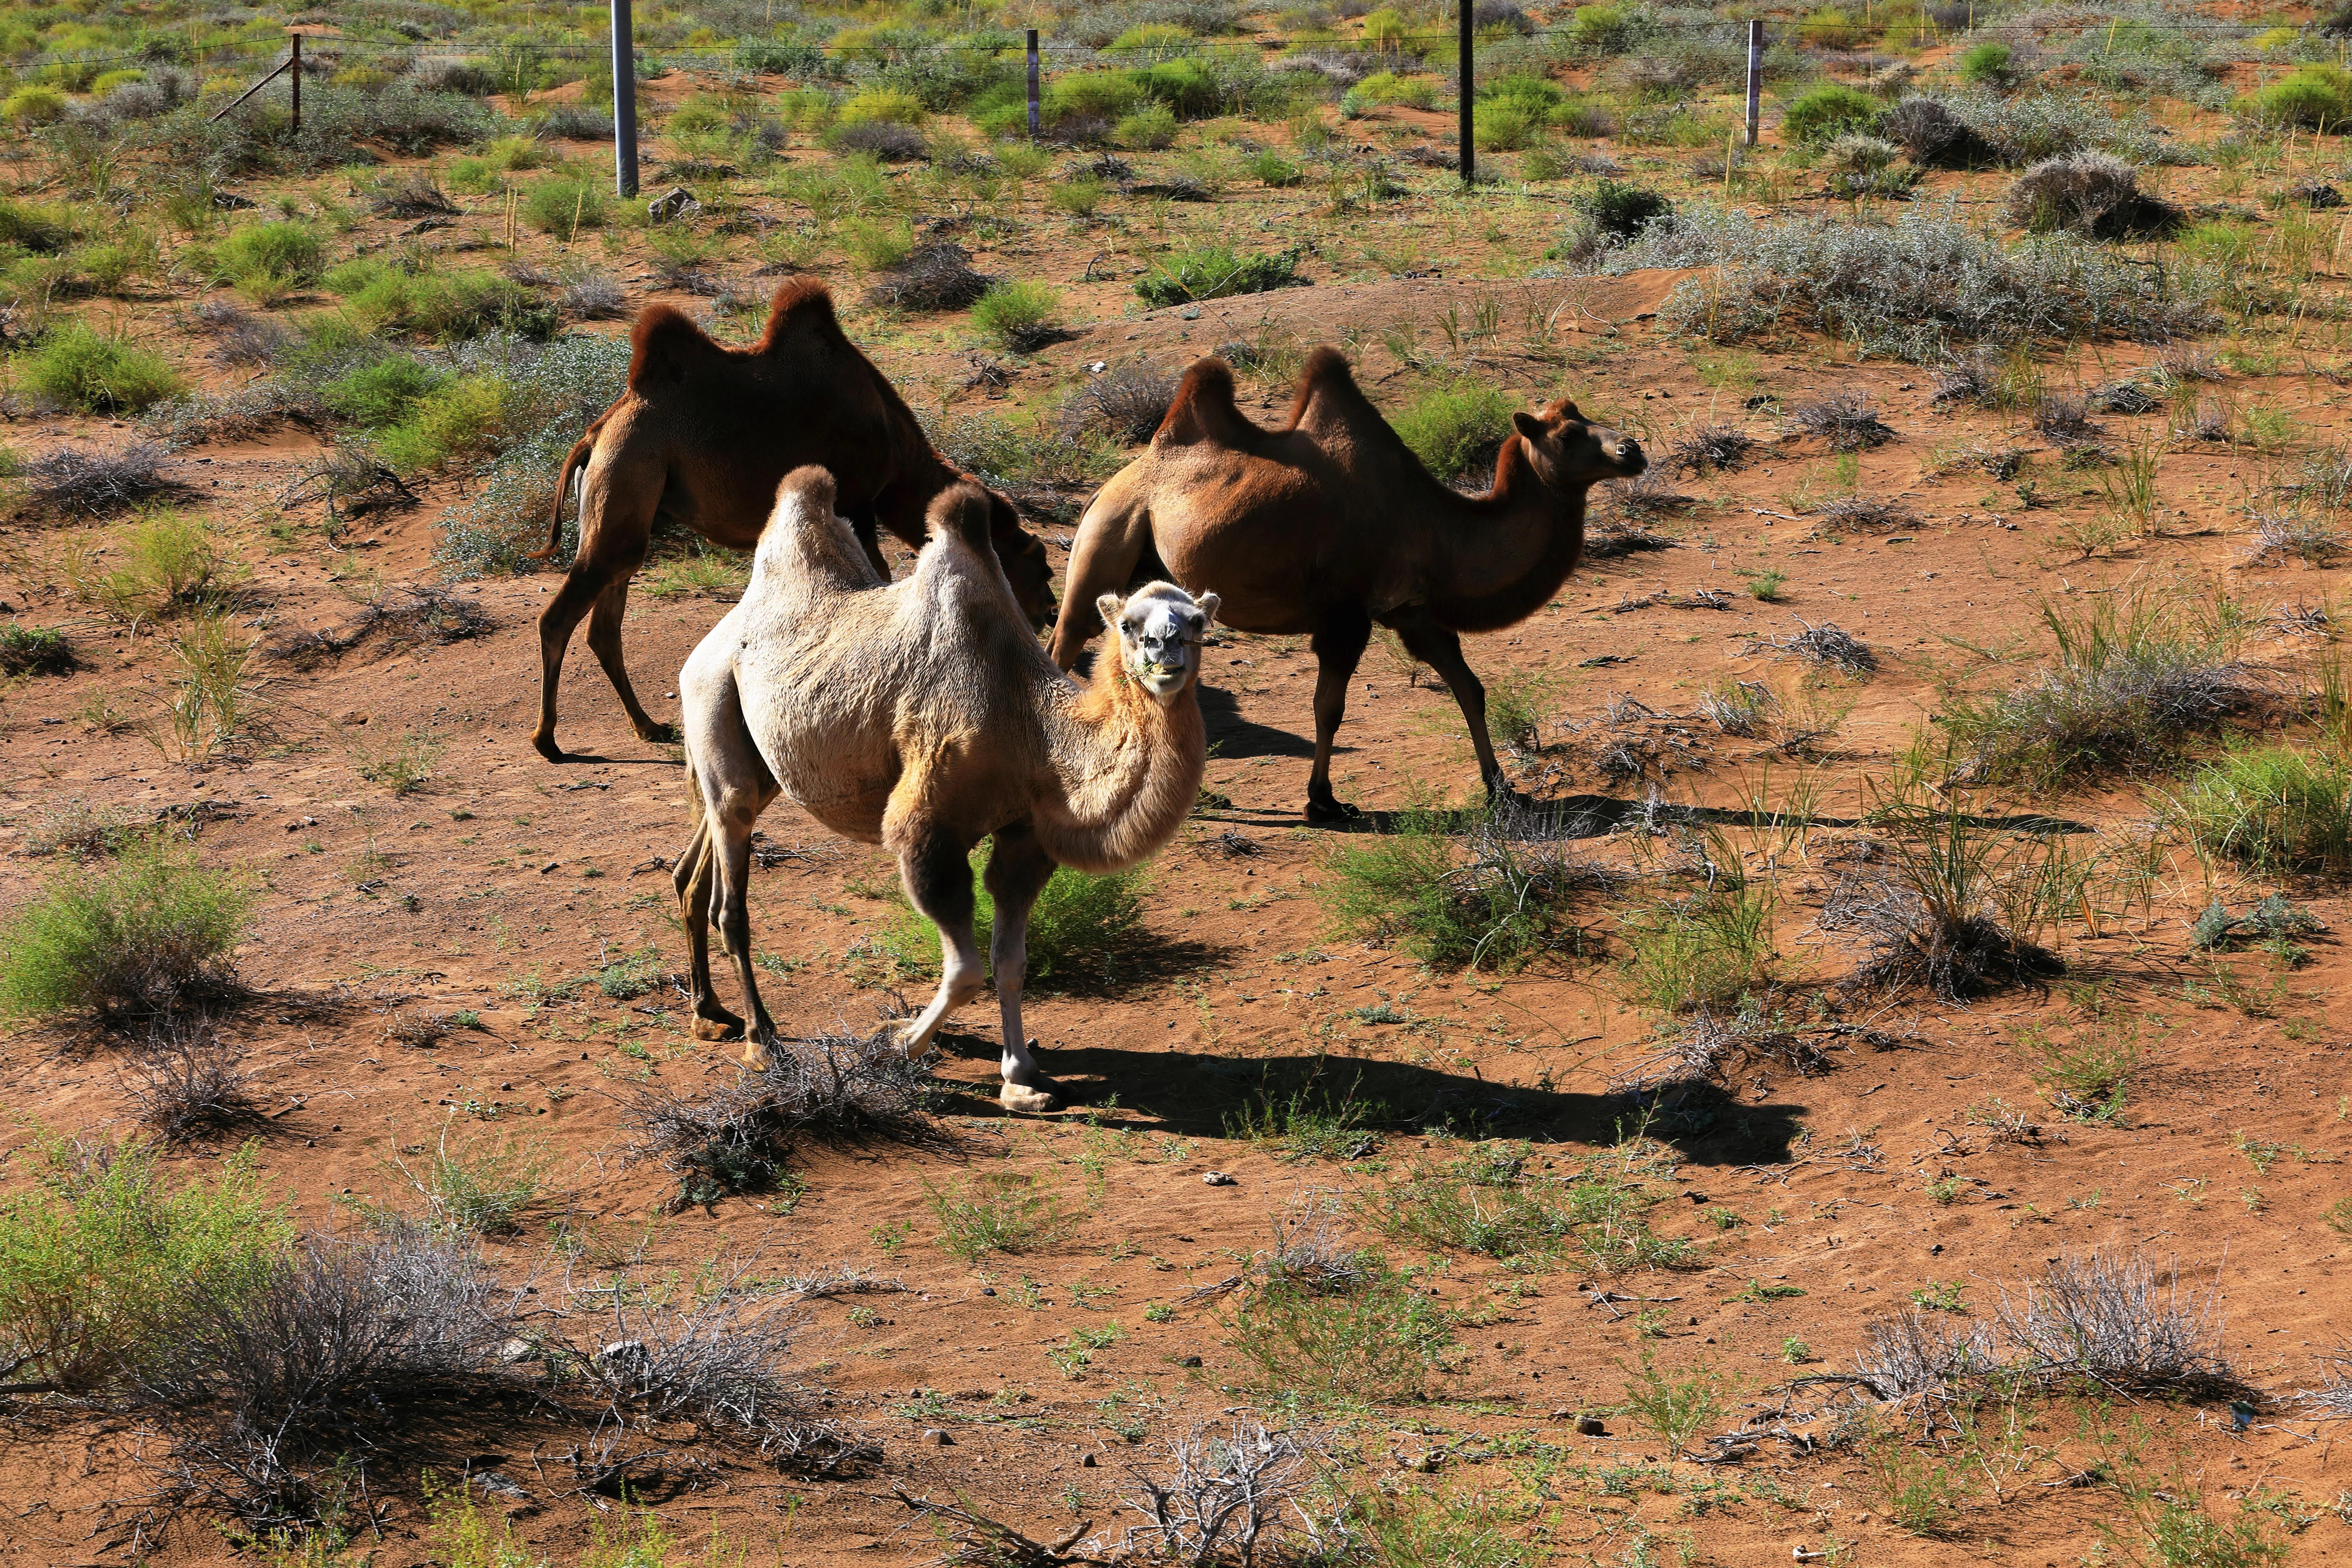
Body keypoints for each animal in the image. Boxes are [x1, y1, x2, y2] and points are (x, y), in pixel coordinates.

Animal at [534, 286, 1058, 771]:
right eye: (1039, 566)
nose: (1048, 613)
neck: (896, 451)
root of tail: (596, 434)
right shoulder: (857, 504)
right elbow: (873, 581)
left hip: (627, 503)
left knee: (605, 623)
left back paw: (647, 726)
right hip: (629, 471)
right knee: (559, 617)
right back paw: (550, 743)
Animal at [663, 465, 1213, 1114]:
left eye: (1197, 623)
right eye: (1129, 624)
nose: (1165, 653)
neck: (1030, 727)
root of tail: (712, 640)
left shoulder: (1023, 836)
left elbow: (1009, 961)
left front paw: (1022, 1075)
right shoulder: (928, 825)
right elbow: (966, 970)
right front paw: (893, 1043)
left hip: (768, 762)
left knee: (696, 864)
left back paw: (708, 1013)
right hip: (712, 702)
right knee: (731, 888)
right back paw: (761, 1039)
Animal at [1058, 350, 1646, 827]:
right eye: (1568, 436)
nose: (1632, 449)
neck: (1432, 525)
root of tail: (1108, 486)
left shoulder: (1412, 612)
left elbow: (1469, 688)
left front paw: (1502, 790)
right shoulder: (1346, 617)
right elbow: (1329, 708)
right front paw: (1323, 802)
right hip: (1109, 539)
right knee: (1064, 646)